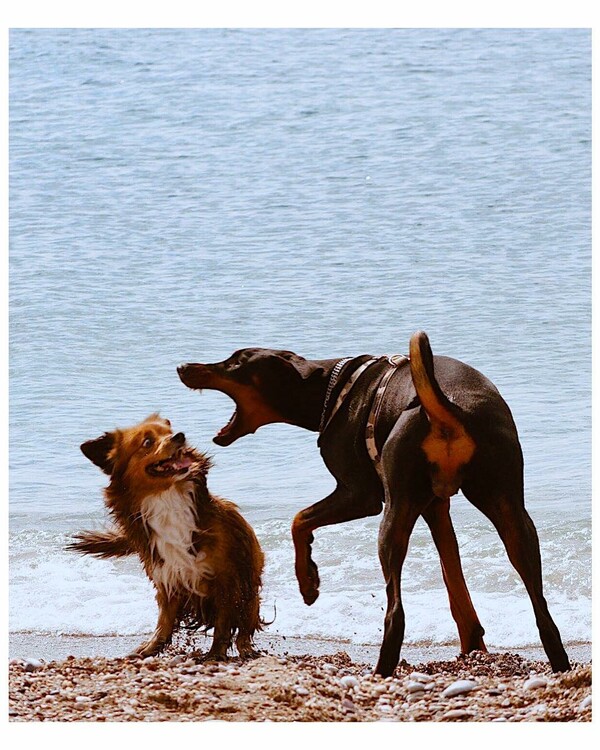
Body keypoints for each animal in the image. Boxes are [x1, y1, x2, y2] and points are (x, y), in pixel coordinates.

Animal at [67, 414, 264, 660]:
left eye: (168, 432)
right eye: (147, 442)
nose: (179, 436)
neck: (166, 498)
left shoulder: (227, 578)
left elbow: (223, 622)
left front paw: (215, 653)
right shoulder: (167, 577)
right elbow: (164, 621)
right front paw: (149, 649)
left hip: (250, 584)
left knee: (246, 621)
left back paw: (245, 648)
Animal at [176, 332, 568, 680]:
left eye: (235, 362)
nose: (182, 366)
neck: (328, 389)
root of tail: (448, 407)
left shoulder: (360, 495)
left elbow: (299, 520)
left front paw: (308, 583)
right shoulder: (435, 507)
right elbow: (453, 578)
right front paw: (472, 643)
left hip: (393, 517)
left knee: (395, 613)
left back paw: (381, 668)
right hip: (509, 511)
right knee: (542, 610)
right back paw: (559, 662)